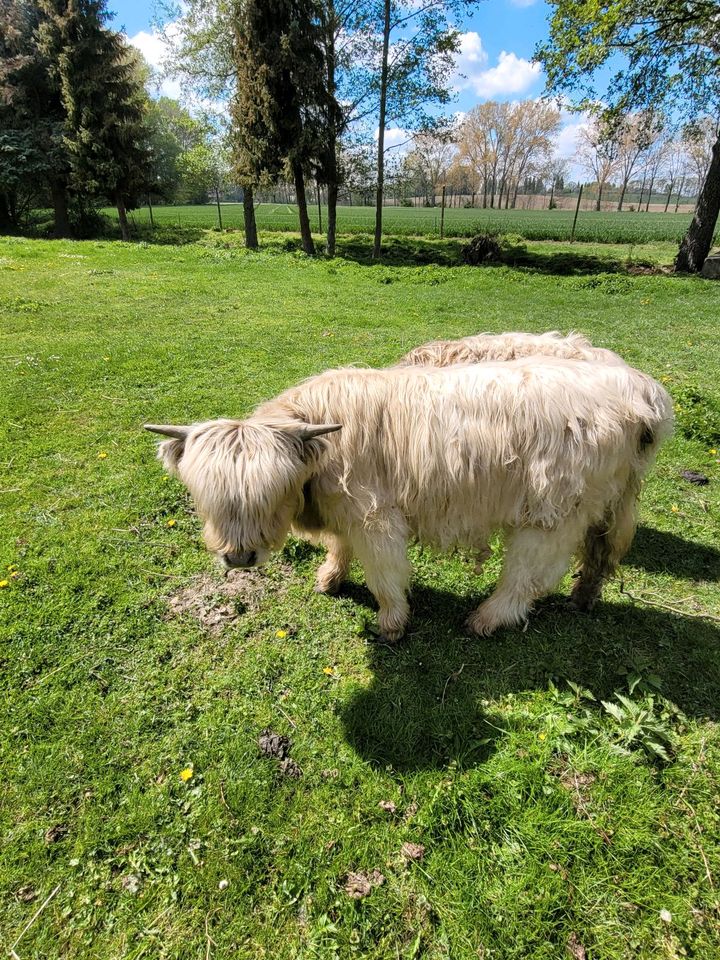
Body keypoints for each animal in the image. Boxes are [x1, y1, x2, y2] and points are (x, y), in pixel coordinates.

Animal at [145, 360, 668, 644]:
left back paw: (486, 619)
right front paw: (330, 578)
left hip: (549, 513)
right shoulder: (345, 514)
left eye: (271, 493)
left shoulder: (374, 516)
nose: (238, 558)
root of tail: (641, 389)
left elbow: (383, 572)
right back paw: (583, 598)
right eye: (205, 496)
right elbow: (340, 548)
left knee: (529, 574)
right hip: (608, 505)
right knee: (598, 554)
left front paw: (392, 622)